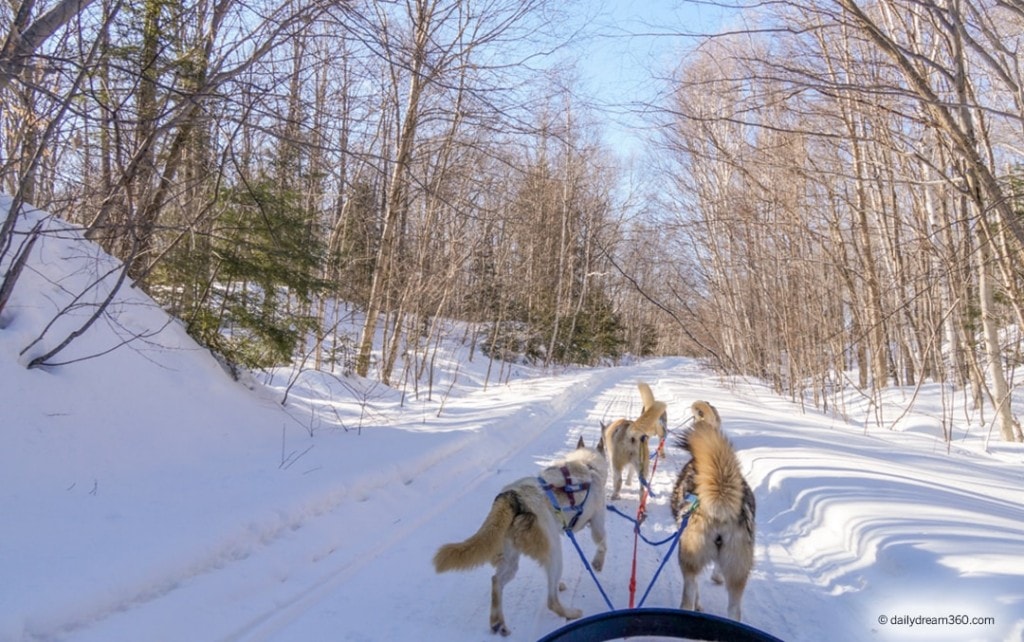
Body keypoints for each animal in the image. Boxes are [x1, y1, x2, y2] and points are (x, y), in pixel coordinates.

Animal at [432, 436, 606, 638]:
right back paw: (570, 613)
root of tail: (512, 497)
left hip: (511, 560)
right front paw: (598, 562)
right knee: (551, 600)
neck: (587, 465)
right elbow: (602, 541)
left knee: (496, 581)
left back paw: (498, 623)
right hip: (554, 552)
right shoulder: (597, 520)